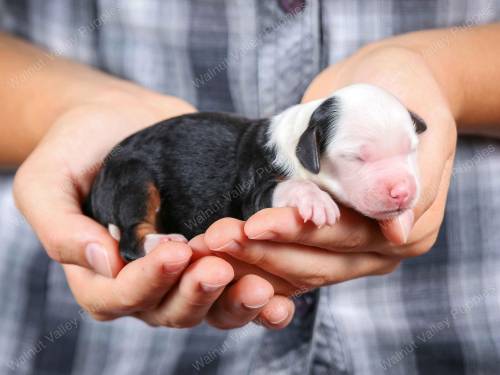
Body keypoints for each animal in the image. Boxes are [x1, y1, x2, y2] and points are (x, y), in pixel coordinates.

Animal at [85, 84, 426, 262]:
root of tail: (98, 186)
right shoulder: (253, 191)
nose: (402, 192)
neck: (300, 134)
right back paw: (162, 242)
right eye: (357, 157)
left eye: (411, 149)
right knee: (130, 239)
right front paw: (315, 200)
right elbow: (286, 188)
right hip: (133, 179)